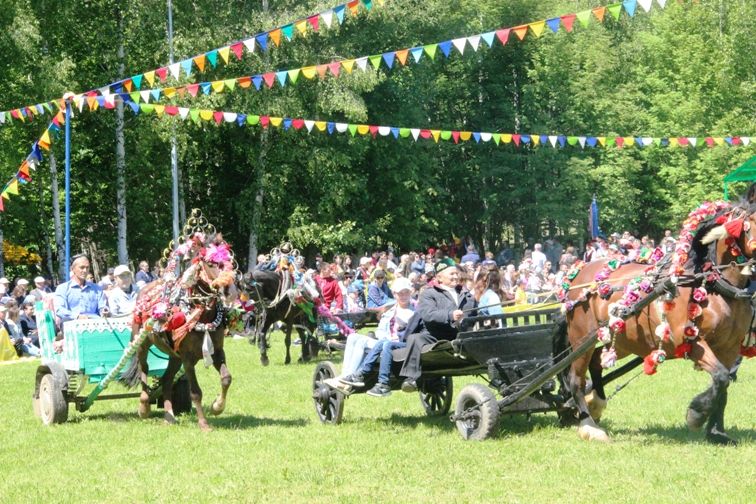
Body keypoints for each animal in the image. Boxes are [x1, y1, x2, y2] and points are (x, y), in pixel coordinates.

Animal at [120, 211, 239, 432]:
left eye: (229, 262)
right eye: (211, 263)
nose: (230, 291)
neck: (201, 314)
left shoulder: (216, 351)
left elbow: (226, 378)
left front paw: (217, 406)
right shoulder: (188, 359)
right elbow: (195, 392)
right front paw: (204, 424)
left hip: (173, 356)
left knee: (166, 380)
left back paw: (169, 415)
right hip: (142, 343)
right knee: (143, 369)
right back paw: (144, 407)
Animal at [560, 197, 752, 444]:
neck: (712, 284)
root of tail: (578, 275)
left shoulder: (729, 347)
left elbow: (724, 383)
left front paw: (717, 432)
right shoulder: (691, 341)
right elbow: (720, 378)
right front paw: (696, 414)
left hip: (621, 339)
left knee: (596, 361)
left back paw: (596, 404)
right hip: (581, 337)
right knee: (577, 378)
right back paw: (590, 426)